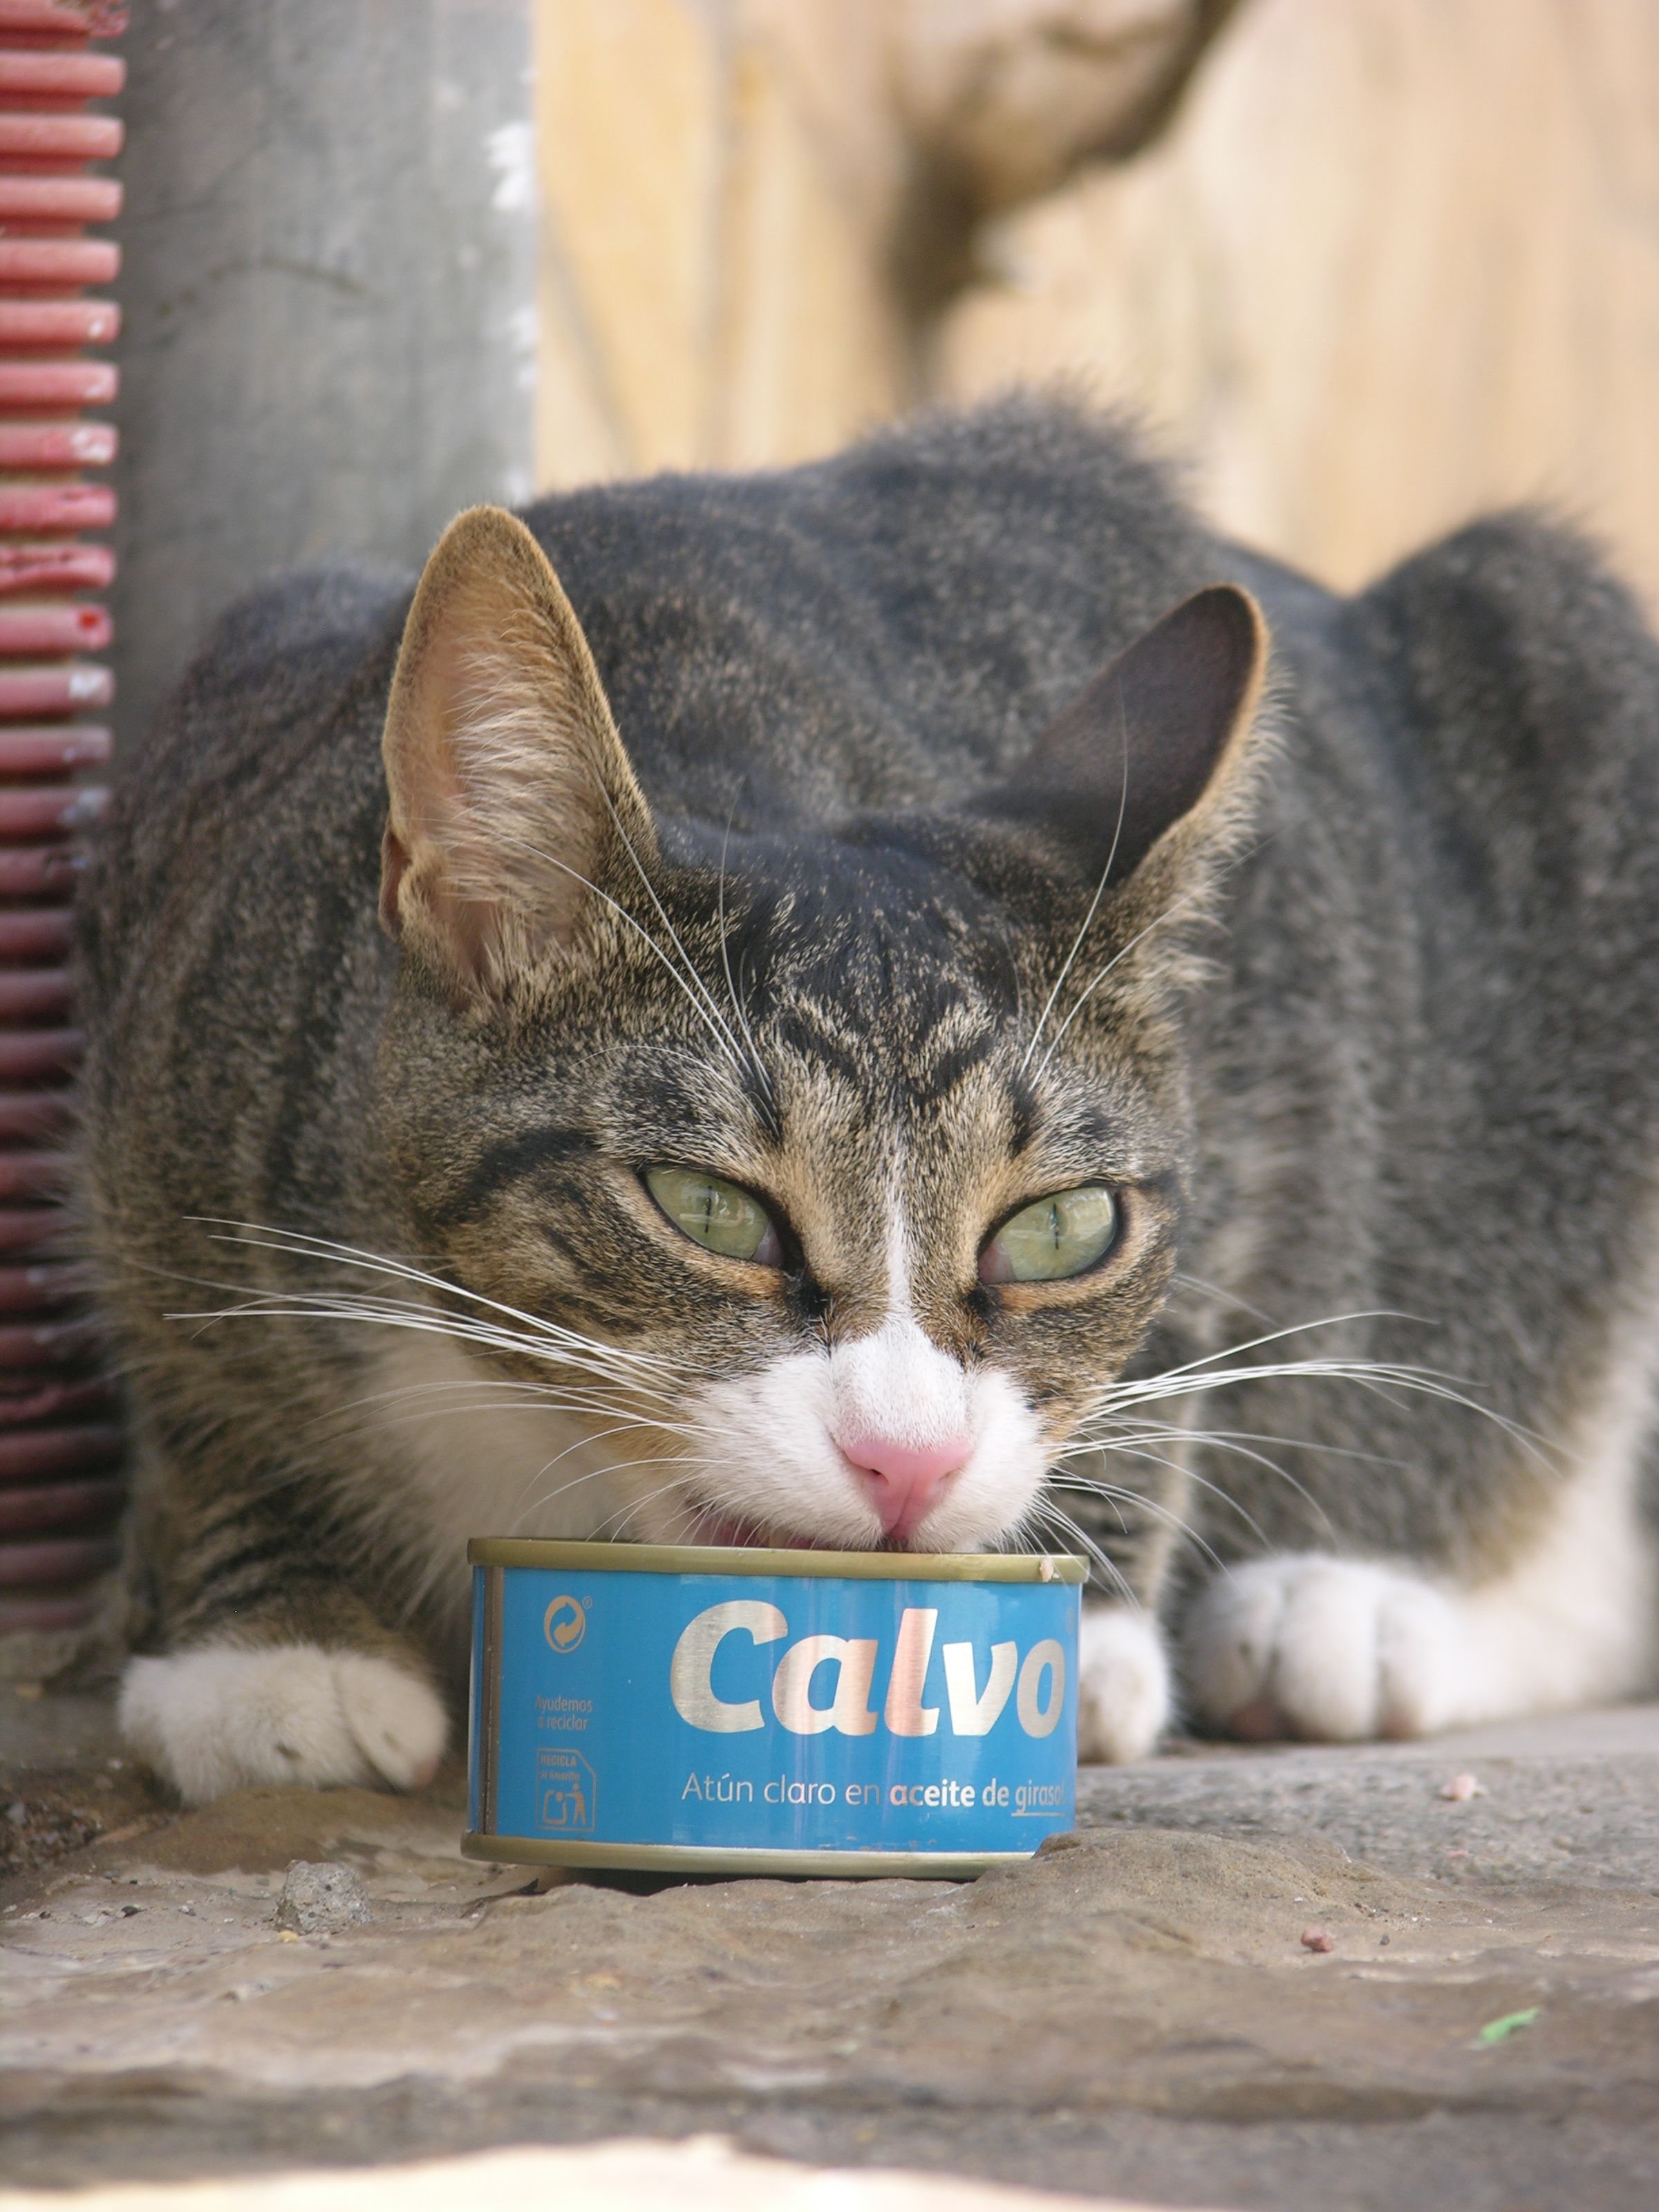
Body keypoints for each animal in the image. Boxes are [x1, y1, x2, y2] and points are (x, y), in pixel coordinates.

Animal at [84, 402, 1659, 1814]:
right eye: (709, 1207)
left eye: (1061, 1231)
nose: (911, 1462)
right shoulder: (180, 981)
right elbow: (187, 1366)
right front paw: (278, 1648)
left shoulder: (1285, 1006)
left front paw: (1073, 1634)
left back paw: (1352, 1611)